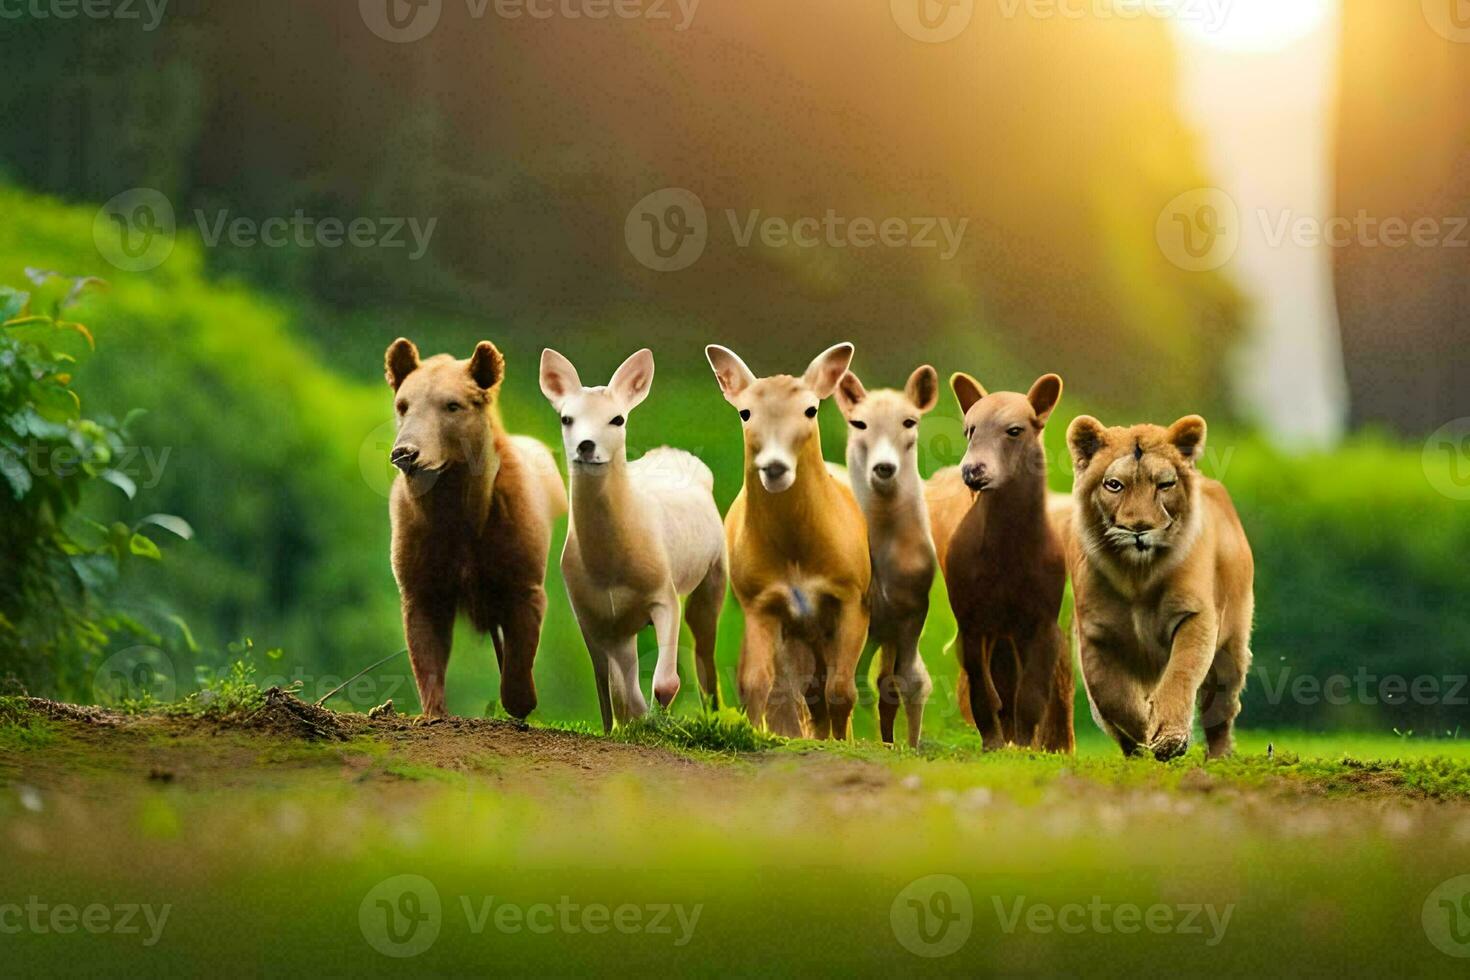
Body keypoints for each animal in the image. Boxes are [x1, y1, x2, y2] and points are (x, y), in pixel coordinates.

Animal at [538, 348, 726, 731]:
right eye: (566, 418)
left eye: (617, 419)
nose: (586, 445)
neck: (610, 566)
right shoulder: (591, 614)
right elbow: (611, 688)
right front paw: (628, 724)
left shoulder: (664, 593)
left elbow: (666, 681)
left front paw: (660, 724)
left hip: (715, 570)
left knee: (704, 644)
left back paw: (713, 714)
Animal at [708, 343, 870, 734]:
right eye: (745, 412)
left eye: (811, 409)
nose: (775, 467)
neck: (797, 556)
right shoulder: (759, 600)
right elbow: (756, 681)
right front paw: (753, 733)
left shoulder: (852, 595)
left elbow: (842, 690)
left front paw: (842, 742)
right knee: (804, 692)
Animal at [834, 365, 934, 743]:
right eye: (859, 423)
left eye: (910, 421)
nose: (884, 468)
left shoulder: (914, 611)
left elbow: (908, 682)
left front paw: (909, 745)